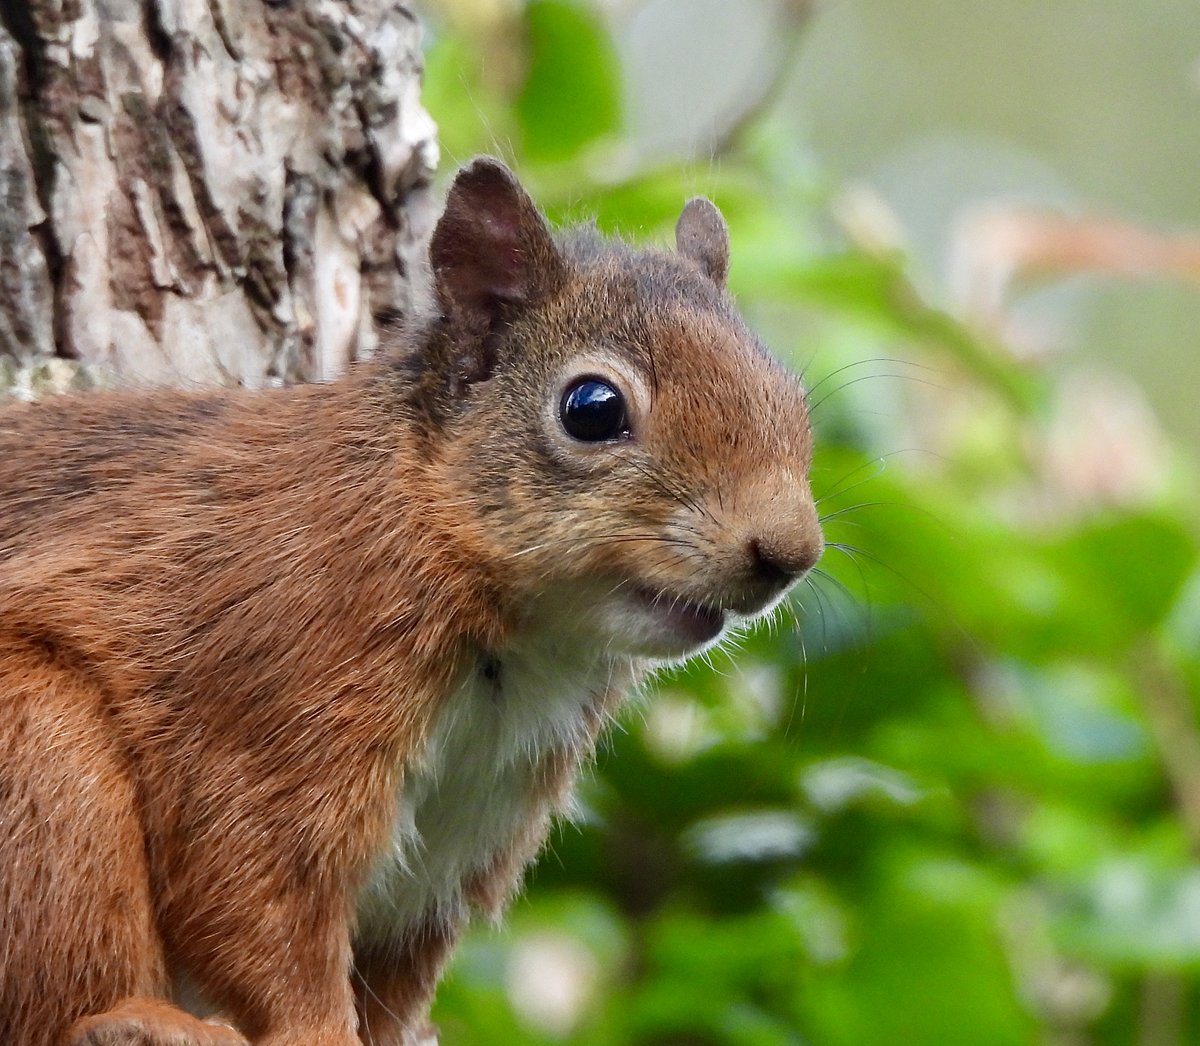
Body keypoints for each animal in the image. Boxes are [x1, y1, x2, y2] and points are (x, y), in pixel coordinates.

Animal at [0, 158, 822, 1045]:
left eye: (788, 395)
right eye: (592, 409)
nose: (790, 553)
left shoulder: (462, 831)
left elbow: (394, 976)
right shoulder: (270, 687)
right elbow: (253, 900)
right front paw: (318, 1030)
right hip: (41, 753)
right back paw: (139, 1018)